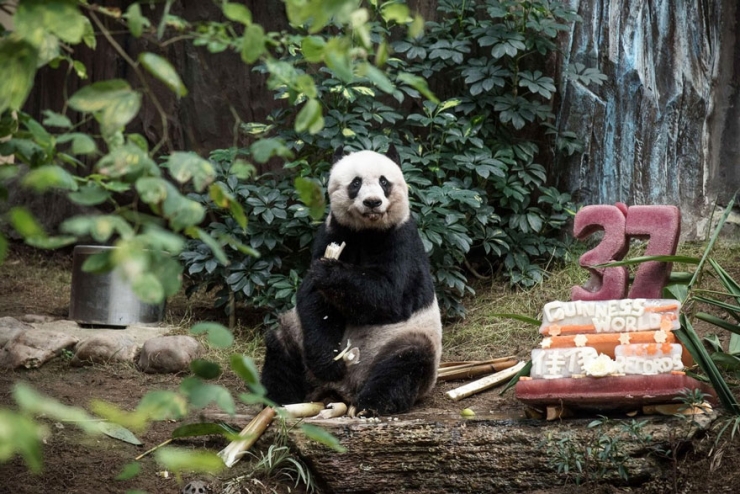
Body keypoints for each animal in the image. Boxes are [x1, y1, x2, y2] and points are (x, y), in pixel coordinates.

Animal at [260, 147, 442, 416]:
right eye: (355, 183)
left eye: (384, 182)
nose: (372, 202)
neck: (367, 230)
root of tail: (342, 389)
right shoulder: (332, 232)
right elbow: (314, 301)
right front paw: (329, 362)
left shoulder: (402, 239)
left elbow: (391, 296)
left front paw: (330, 272)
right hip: (298, 338)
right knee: (281, 347)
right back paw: (279, 399)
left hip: (405, 339)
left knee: (406, 362)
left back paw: (372, 404)